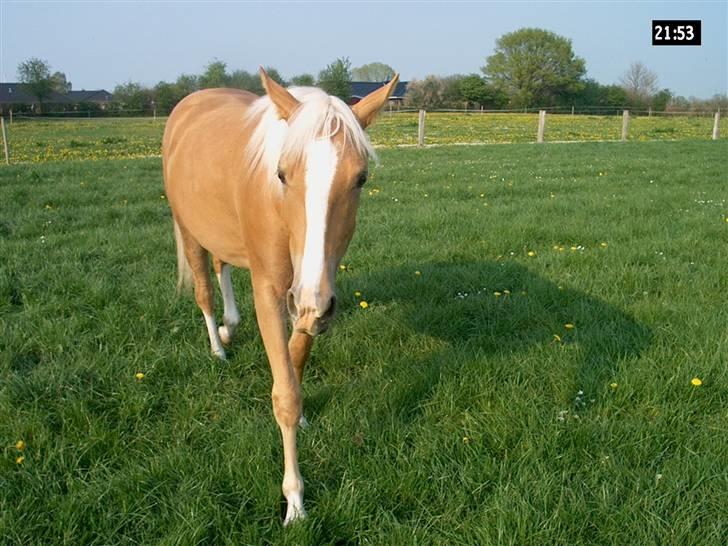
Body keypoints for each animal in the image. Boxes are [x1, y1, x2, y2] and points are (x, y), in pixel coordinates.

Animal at [162, 70, 398, 520]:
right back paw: (218, 346)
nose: (310, 302)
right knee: (204, 290)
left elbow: (295, 356)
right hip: (189, 230)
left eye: (360, 179)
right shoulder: (276, 291)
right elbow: (285, 394)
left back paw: (230, 327)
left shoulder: (313, 293)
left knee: (222, 267)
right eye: (283, 175)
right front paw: (295, 500)